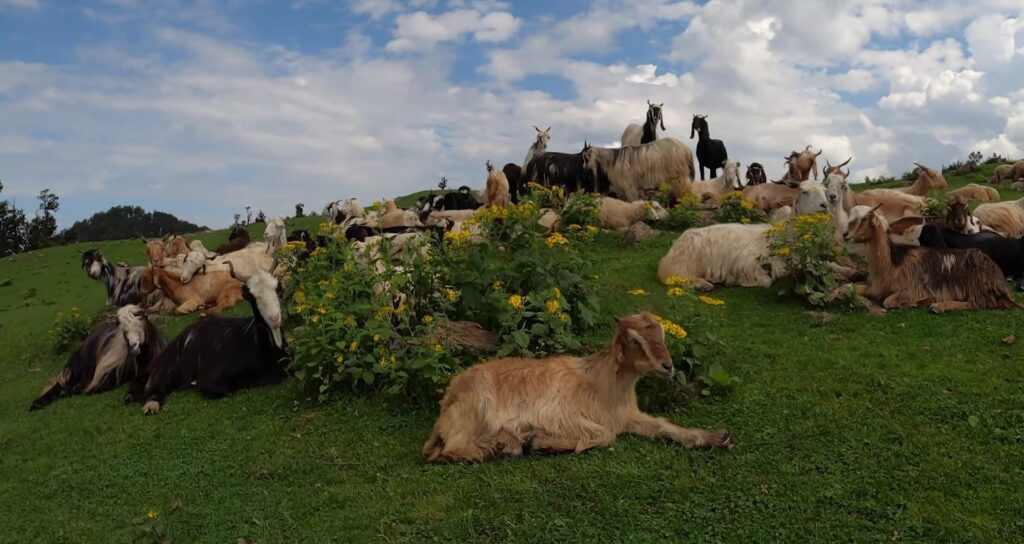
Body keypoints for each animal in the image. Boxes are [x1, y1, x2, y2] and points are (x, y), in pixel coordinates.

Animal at [29, 307, 165, 413]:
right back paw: (38, 403)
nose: (133, 346)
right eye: (125, 331)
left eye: (139, 323)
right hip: (81, 364)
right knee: (62, 382)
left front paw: (132, 396)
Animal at [136, 270, 288, 415]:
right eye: (251, 297)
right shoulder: (213, 378)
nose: (274, 319)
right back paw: (151, 405)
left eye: (279, 290)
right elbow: (222, 389)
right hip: (169, 367)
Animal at [419, 315, 733, 465]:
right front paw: (540, 442)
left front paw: (717, 437)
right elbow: (604, 435)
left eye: (662, 334)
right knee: (449, 450)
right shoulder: (563, 414)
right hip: (475, 410)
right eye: (634, 340)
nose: (667, 366)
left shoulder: (628, 416)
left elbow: (664, 426)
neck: (603, 383)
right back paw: (492, 449)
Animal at [839, 205, 1015, 315]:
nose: (845, 234)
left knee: (978, 303)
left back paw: (939, 306)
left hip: (977, 287)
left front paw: (921, 301)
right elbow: (847, 287)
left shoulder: (910, 289)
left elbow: (888, 302)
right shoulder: (875, 288)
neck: (892, 263)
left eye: (864, 219)